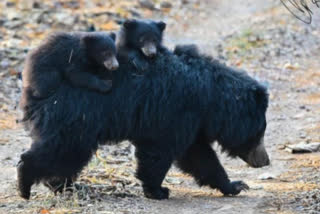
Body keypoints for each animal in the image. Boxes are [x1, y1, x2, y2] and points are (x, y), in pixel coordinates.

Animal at [18, 20, 270, 200]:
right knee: (62, 150)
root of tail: (33, 86)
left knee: (65, 156)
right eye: (259, 132)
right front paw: (158, 191)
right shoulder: (176, 111)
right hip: (76, 115)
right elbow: (163, 151)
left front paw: (235, 186)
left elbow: (199, 155)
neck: (210, 99)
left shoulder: (192, 121)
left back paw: (63, 185)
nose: (265, 160)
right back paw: (26, 184)